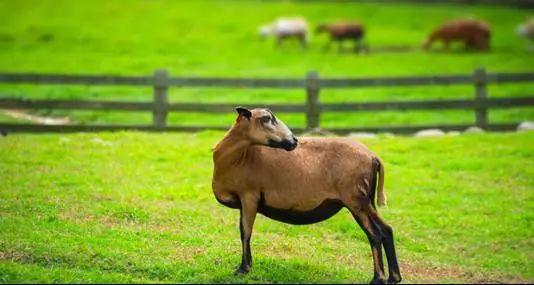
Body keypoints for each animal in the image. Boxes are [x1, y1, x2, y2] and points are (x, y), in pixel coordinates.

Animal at [213, 106, 402, 282]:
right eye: (266, 118)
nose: (294, 140)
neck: (239, 158)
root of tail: (374, 157)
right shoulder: (243, 201)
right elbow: (243, 230)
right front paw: (248, 266)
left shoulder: (249, 196)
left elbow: (245, 231)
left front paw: (243, 269)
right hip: (366, 200)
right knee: (386, 230)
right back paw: (394, 277)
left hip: (356, 199)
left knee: (375, 234)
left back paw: (378, 278)